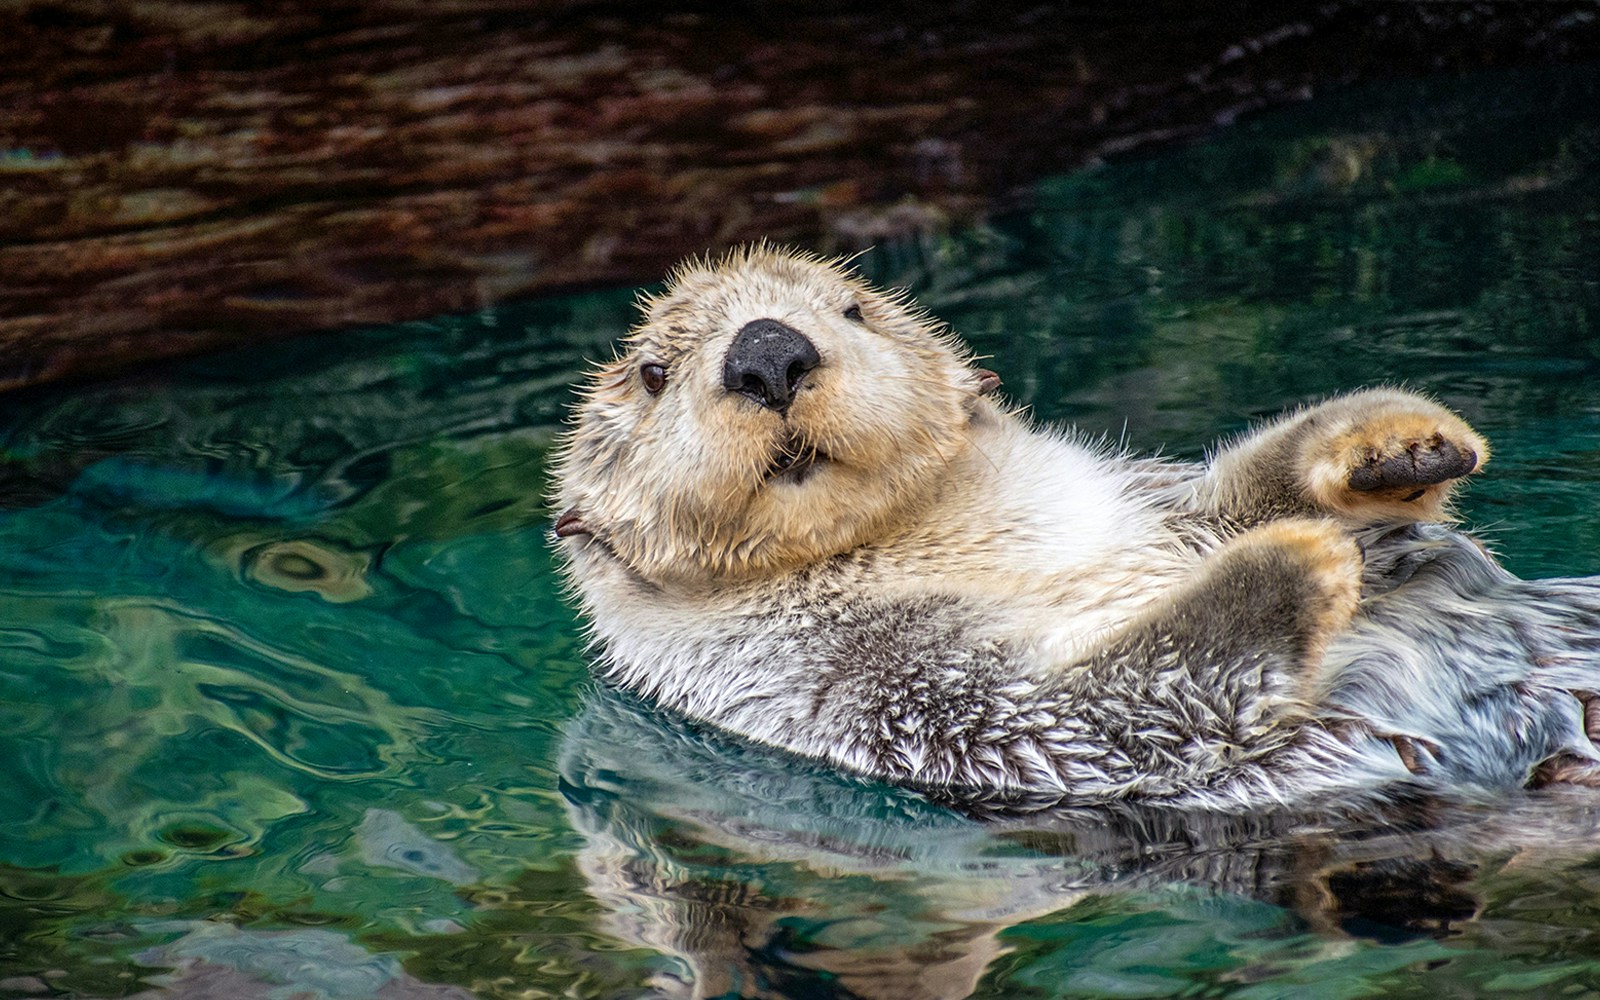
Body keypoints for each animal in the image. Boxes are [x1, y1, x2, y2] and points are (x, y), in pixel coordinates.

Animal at [552, 244, 1600, 807]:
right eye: (652, 372)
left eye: (851, 309)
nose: (768, 351)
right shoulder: (877, 693)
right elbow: (1103, 710)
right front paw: (1295, 558)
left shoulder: (1152, 510)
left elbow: (1237, 491)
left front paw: (1398, 443)